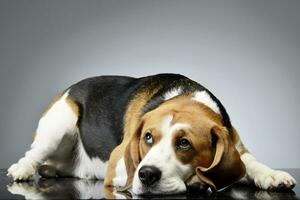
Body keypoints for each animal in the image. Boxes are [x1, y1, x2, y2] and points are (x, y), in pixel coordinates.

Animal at [8, 74, 296, 195]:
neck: (187, 96)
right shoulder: (117, 162)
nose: (147, 175)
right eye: (147, 137)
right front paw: (196, 180)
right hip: (61, 122)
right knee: (32, 155)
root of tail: (68, 89)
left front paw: (272, 175)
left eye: (184, 143)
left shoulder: (236, 146)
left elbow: (250, 164)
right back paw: (21, 169)